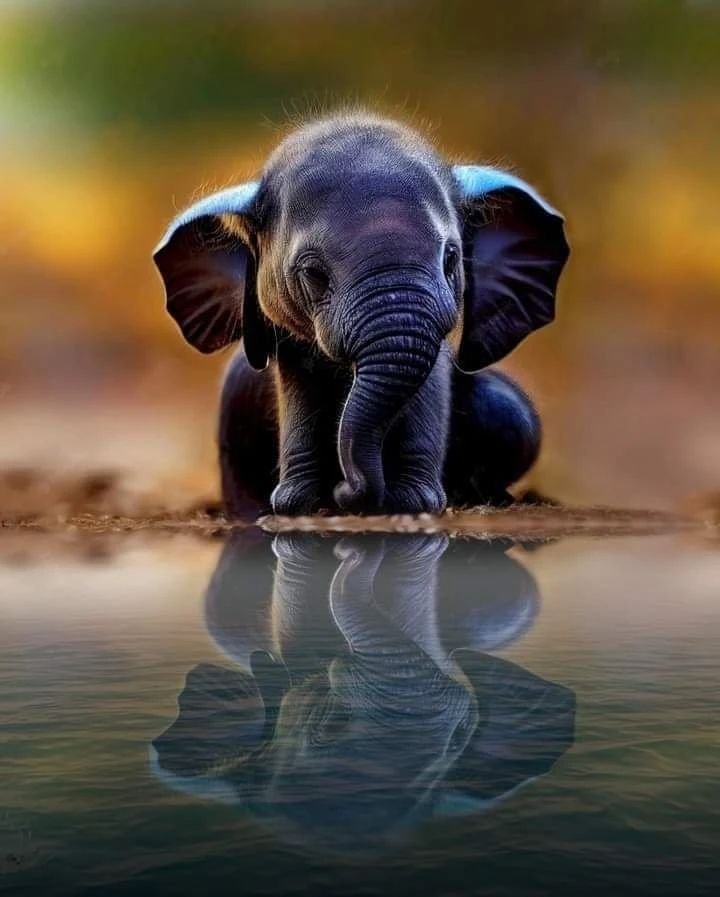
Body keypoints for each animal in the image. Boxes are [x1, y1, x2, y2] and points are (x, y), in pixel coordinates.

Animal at [153, 113, 570, 517]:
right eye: (313, 274)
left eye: (451, 259)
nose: (345, 490)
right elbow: (298, 391)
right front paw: (298, 507)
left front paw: (414, 504)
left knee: (504, 407)